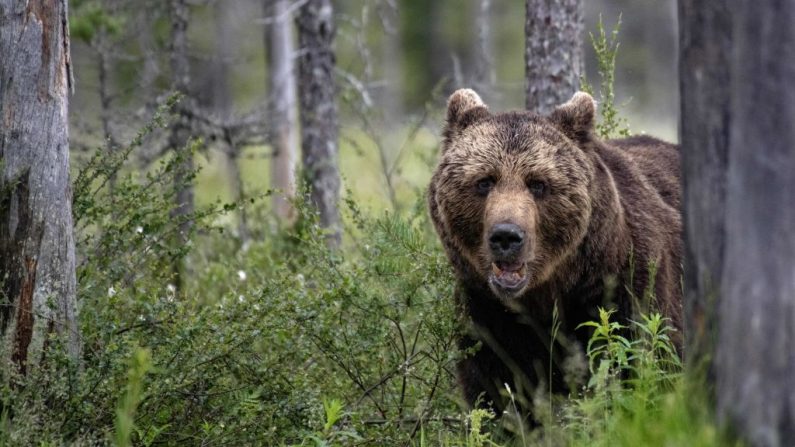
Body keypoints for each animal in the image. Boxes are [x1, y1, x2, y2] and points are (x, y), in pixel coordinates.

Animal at [430, 89, 684, 418]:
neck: (549, 291)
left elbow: (638, 367)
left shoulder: (626, 289)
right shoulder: (487, 313)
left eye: (538, 183)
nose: (506, 236)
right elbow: (496, 391)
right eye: (484, 181)